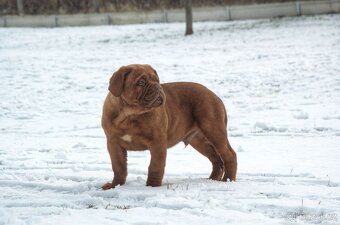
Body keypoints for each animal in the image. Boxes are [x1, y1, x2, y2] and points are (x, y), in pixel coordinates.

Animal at [101, 64, 236, 189]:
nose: (158, 86)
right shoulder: (113, 144)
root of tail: (214, 94)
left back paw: (228, 180)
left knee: (229, 154)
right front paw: (115, 185)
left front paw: (152, 186)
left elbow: (155, 166)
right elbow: (118, 167)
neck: (130, 115)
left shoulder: (157, 142)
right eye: (141, 82)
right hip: (199, 140)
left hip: (213, 130)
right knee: (216, 159)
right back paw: (212, 179)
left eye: (157, 80)